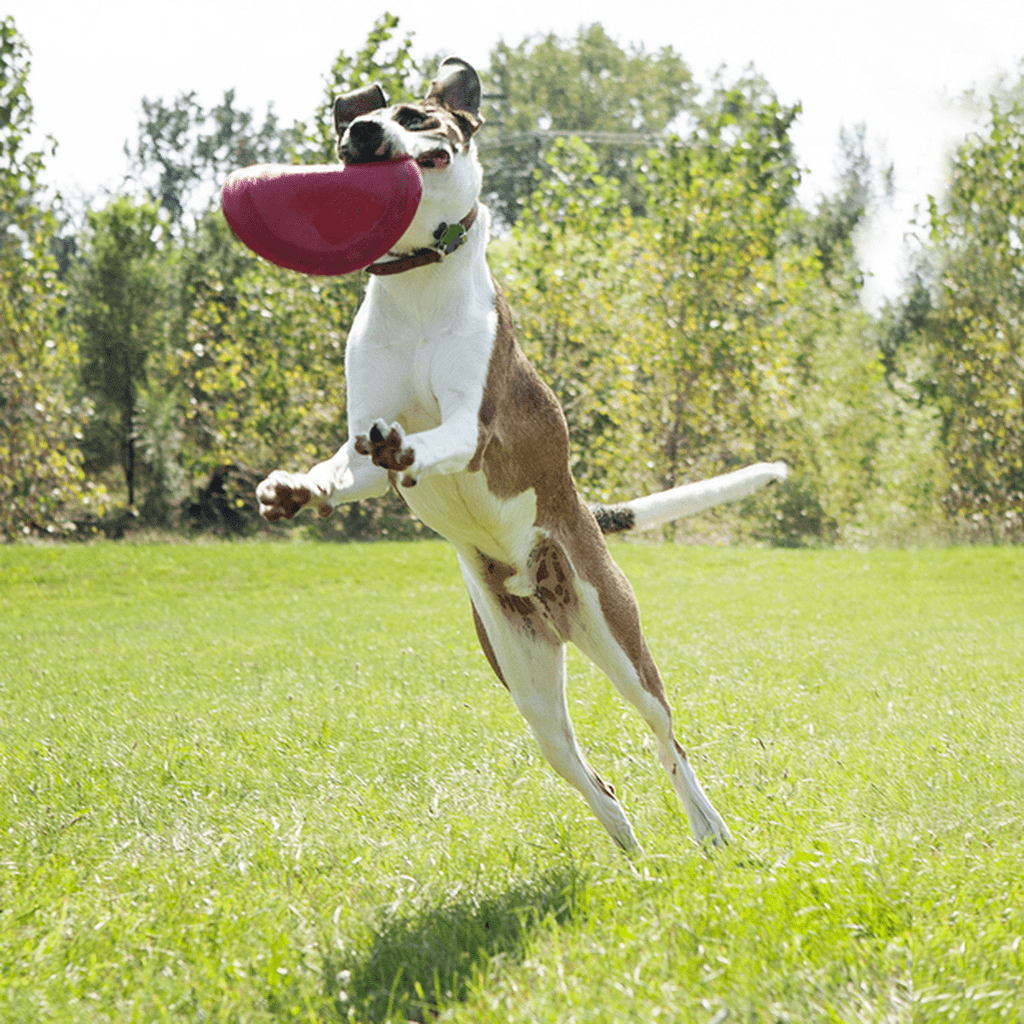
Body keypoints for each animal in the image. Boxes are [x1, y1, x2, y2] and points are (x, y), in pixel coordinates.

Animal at [253, 58, 782, 856]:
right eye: (361, 121)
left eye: (419, 118)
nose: (362, 129)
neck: (419, 286)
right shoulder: (360, 460)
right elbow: (343, 470)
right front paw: (292, 488)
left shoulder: (476, 428)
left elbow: (439, 438)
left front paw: (409, 443)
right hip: (527, 687)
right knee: (598, 782)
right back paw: (631, 856)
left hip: (619, 640)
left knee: (667, 740)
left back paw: (708, 828)